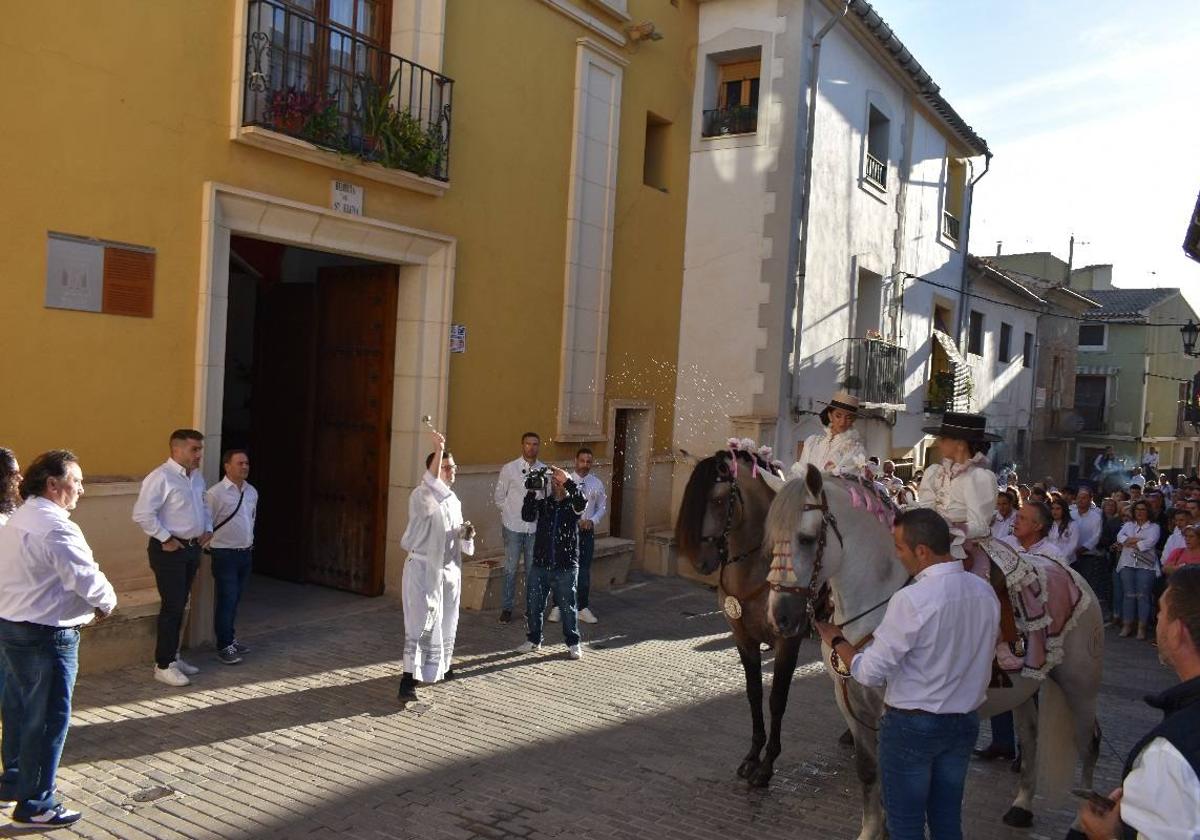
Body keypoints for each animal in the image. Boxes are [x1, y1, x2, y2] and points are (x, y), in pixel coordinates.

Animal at [763, 465, 1099, 840]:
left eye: (806, 539)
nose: (780, 617)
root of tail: (1073, 575)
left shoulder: (893, 710)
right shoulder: (850, 702)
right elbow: (868, 771)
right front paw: (871, 830)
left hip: (1080, 686)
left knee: (1089, 744)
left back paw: (1080, 821)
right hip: (1025, 689)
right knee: (1030, 737)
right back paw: (1022, 806)